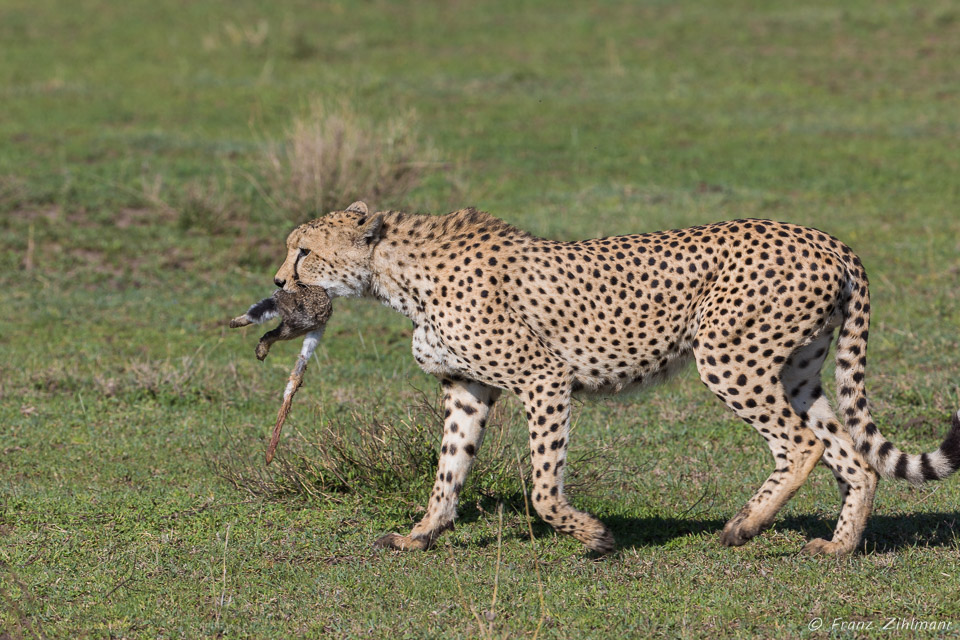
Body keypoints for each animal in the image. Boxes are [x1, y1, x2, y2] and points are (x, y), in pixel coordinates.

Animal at [268, 201, 960, 556]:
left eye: (304, 251)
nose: (276, 283)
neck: (397, 274)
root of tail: (827, 238)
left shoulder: (544, 379)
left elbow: (543, 487)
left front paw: (595, 537)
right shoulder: (466, 388)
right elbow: (448, 470)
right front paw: (422, 534)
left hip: (728, 357)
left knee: (804, 444)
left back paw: (743, 526)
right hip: (796, 370)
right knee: (854, 455)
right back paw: (837, 548)